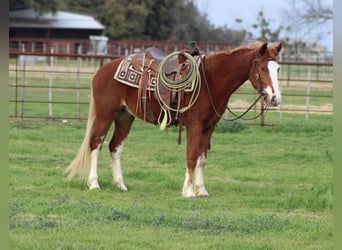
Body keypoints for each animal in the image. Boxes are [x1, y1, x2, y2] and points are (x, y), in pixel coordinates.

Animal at [65, 41, 282, 197]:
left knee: (115, 146)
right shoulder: (195, 125)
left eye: (278, 68)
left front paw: (201, 190)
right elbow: (191, 156)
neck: (210, 81)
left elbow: (201, 159)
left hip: (125, 116)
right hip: (105, 114)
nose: (275, 98)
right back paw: (94, 183)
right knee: (96, 143)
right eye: (263, 68)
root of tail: (102, 70)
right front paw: (189, 191)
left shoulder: (209, 127)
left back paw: (121, 185)